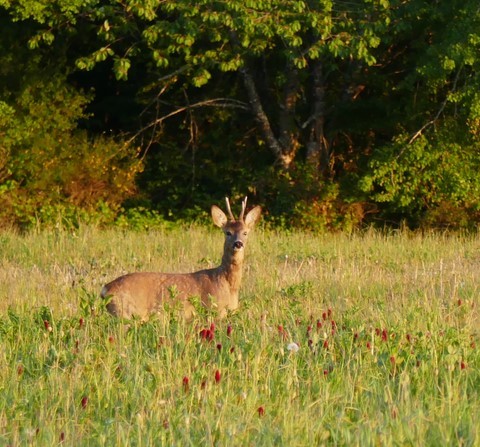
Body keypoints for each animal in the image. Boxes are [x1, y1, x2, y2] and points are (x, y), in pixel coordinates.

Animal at [99, 198, 260, 320]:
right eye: (228, 232)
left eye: (245, 232)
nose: (238, 244)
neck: (227, 284)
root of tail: (105, 289)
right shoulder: (213, 310)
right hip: (126, 313)